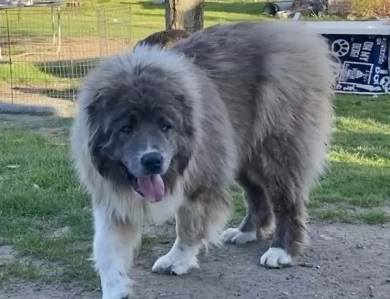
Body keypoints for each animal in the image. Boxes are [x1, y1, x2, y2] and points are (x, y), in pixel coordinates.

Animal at [71, 21, 338, 299]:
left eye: (165, 126)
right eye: (126, 128)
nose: (153, 160)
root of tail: (293, 31)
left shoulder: (201, 183)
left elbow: (188, 228)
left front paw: (176, 261)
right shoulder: (112, 197)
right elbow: (107, 250)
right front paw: (116, 289)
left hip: (274, 152)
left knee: (287, 202)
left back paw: (281, 251)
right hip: (239, 152)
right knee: (256, 195)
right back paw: (246, 232)